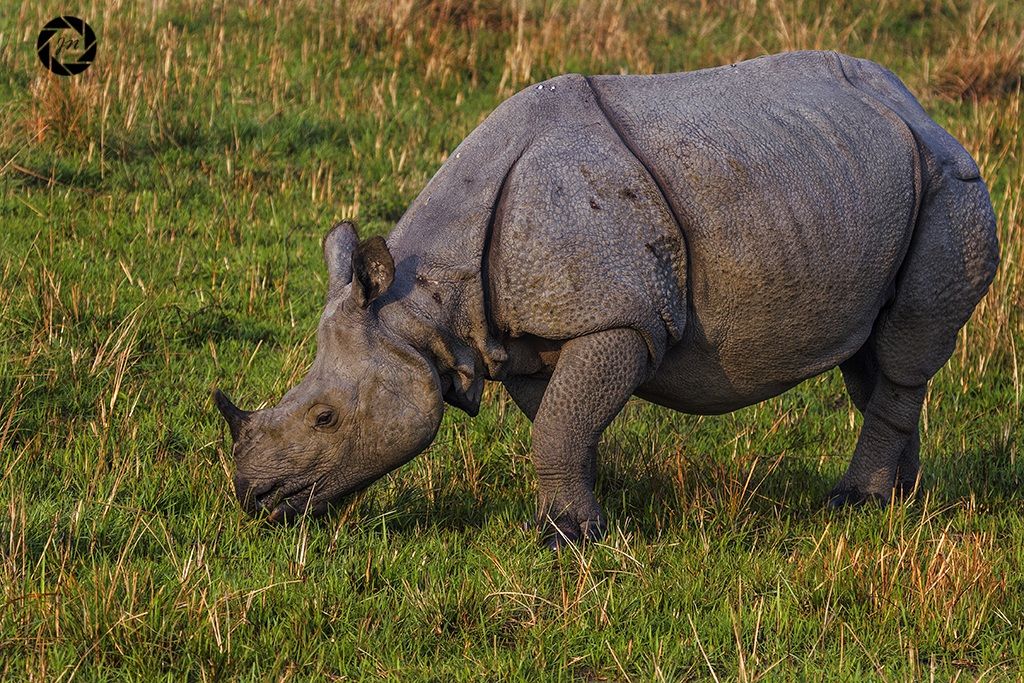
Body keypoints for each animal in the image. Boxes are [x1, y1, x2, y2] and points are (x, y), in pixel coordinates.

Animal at [214, 51, 998, 547]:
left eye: (325, 418)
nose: (252, 499)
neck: (425, 304)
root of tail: (918, 107)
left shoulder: (623, 319)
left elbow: (561, 422)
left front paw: (567, 540)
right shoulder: (526, 335)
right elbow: (560, 419)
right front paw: (589, 514)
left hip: (950, 182)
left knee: (901, 352)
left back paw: (854, 504)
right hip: (867, 180)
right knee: (872, 356)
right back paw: (900, 503)